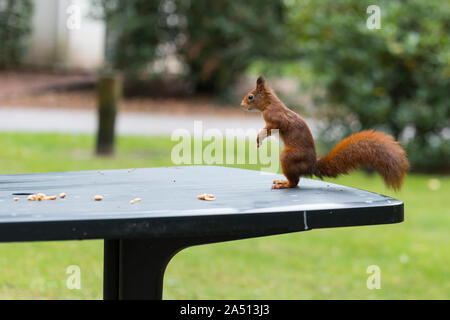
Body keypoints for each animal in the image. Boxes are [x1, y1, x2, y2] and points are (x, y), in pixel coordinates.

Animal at [241, 76, 410, 189]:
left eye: (250, 96)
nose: (242, 105)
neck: (269, 103)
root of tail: (311, 166)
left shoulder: (277, 118)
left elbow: (272, 127)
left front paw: (259, 138)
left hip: (289, 157)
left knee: (295, 182)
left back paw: (284, 184)